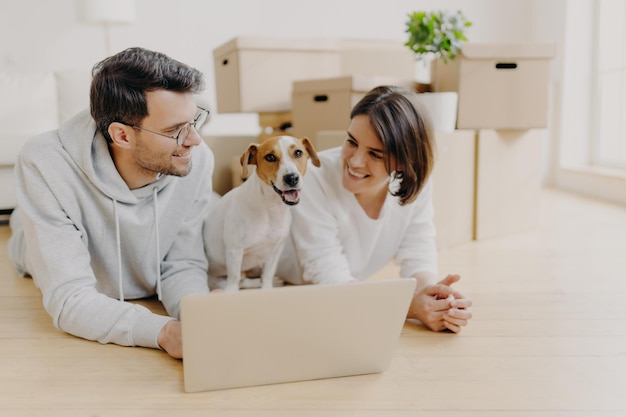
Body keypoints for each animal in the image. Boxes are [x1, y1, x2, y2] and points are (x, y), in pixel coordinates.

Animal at [205, 135, 320, 290]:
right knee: (241, 281)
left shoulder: (275, 251)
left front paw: (267, 288)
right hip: (217, 279)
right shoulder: (234, 251)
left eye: (298, 153)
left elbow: (267, 275)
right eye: (270, 157)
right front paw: (232, 291)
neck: (270, 208)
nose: (292, 178)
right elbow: (234, 279)